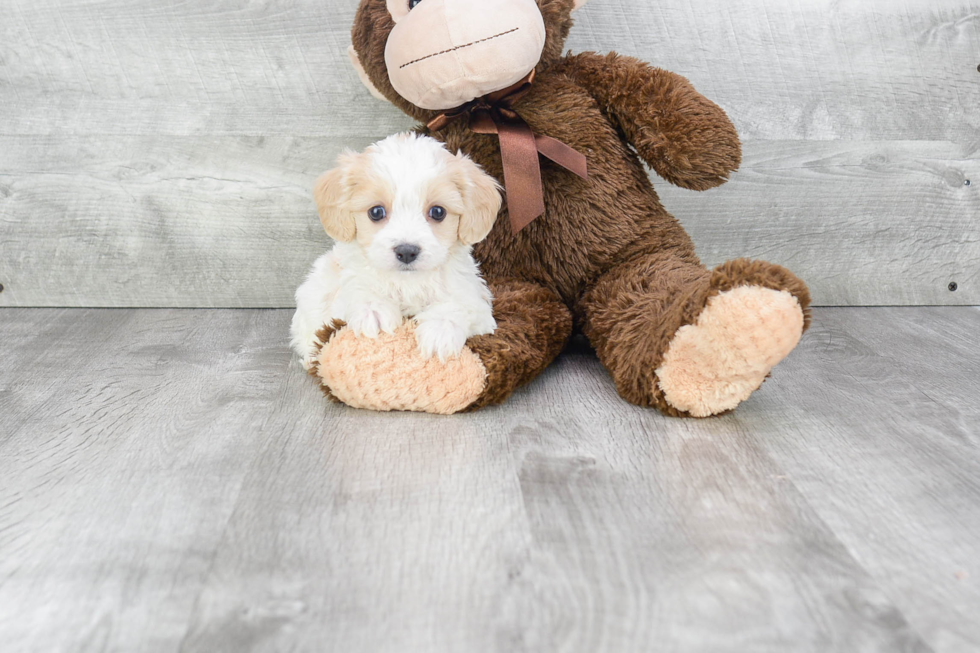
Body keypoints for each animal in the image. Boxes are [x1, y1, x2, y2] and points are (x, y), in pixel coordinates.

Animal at [290, 132, 506, 366]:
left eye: (438, 212)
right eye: (376, 212)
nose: (407, 251)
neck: (408, 282)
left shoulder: (475, 299)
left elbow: (460, 304)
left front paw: (440, 331)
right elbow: (358, 287)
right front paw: (373, 309)